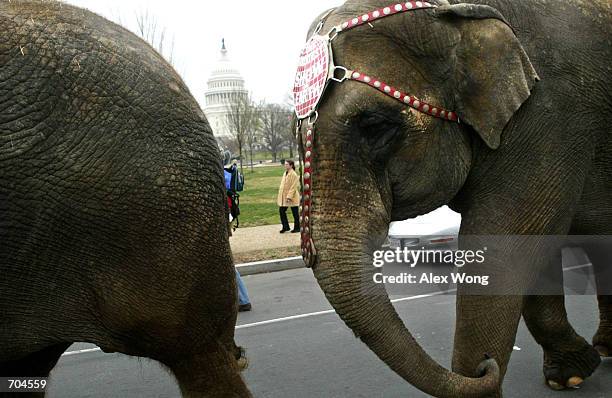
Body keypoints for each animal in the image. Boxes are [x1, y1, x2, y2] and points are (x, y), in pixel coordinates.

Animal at [294, 0, 608, 396]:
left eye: (375, 125)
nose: (485, 367)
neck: (452, 13)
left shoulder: (552, 117)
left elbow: (504, 249)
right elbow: (533, 248)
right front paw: (571, 375)